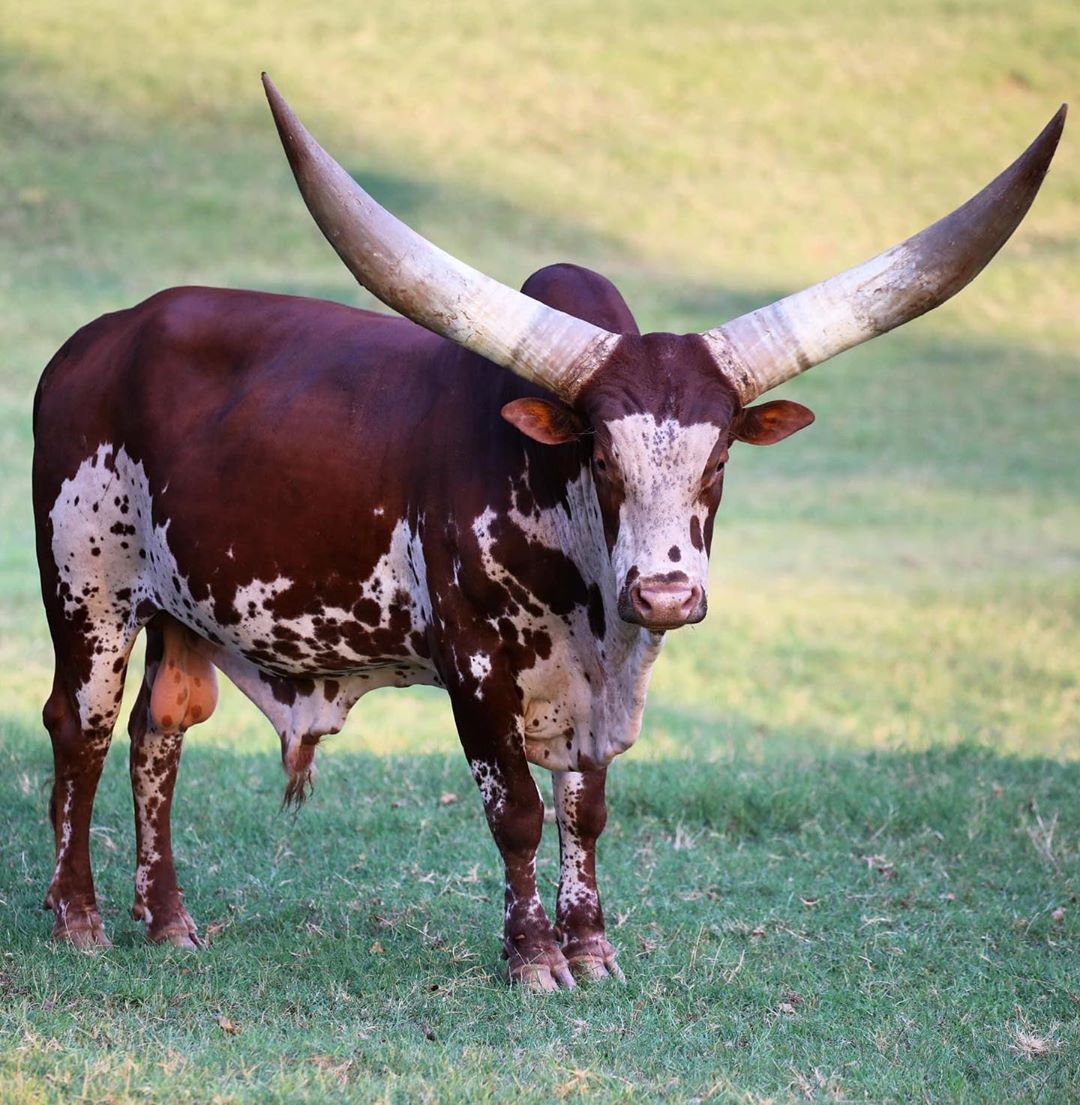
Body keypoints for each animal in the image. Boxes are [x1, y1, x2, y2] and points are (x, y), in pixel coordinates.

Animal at [31, 77, 1061, 990]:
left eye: (721, 456)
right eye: (600, 454)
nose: (666, 592)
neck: (592, 602)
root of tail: (93, 344)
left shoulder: (601, 689)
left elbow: (587, 812)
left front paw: (593, 949)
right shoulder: (477, 671)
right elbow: (519, 814)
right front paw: (532, 960)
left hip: (181, 612)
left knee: (160, 731)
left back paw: (167, 922)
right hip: (89, 590)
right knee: (81, 729)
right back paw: (78, 919)